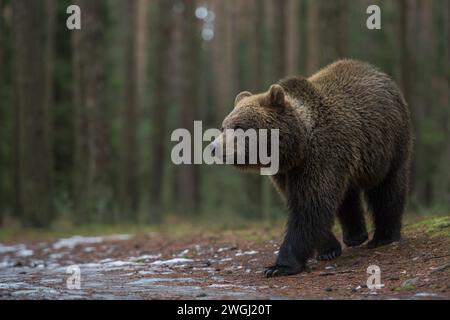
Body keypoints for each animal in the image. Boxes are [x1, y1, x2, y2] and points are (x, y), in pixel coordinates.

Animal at [213, 58, 414, 276]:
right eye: (224, 127)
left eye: (239, 127)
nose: (214, 147)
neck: (297, 146)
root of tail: (378, 73)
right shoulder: (287, 171)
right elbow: (310, 204)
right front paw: (328, 249)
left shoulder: (321, 155)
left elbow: (309, 206)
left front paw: (279, 266)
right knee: (348, 193)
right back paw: (355, 235)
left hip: (388, 143)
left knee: (388, 188)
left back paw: (384, 236)